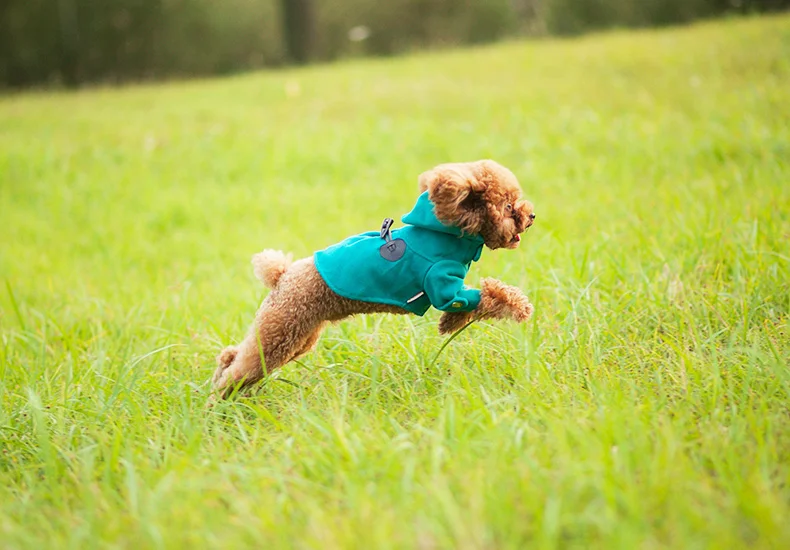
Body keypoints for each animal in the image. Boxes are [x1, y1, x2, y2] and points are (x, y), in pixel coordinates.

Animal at [212, 162, 540, 398]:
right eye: (508, 206)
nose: (532, 216)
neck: (447, 235)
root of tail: (282, 274)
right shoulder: (441, 282)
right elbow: (485, 297)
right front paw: (518, 307)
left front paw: (450, 324)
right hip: (281, 331)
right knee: (242, 368)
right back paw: (217, 400)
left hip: (297, 336)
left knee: (233, 355)